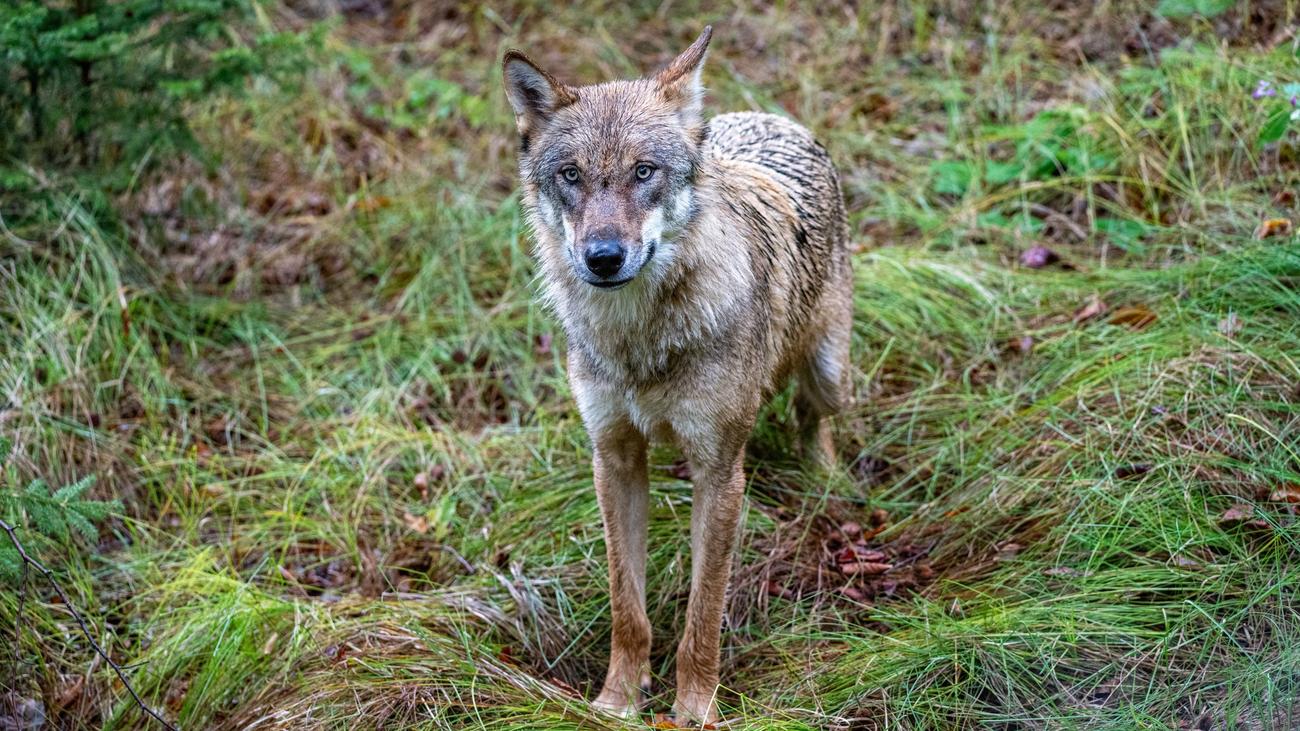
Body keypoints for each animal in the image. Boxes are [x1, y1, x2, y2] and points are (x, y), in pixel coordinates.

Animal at [503, 25, 853, 725]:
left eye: (644, 172)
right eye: (571, 176)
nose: (603, 257)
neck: (641, 340)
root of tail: (770, 118)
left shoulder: (719, 473)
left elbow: (703, 614)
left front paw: (694, 712)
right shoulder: (613, 458)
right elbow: (627, 608)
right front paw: (616, 701)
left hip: (828, 370)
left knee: (813, 416)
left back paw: (825, 480)